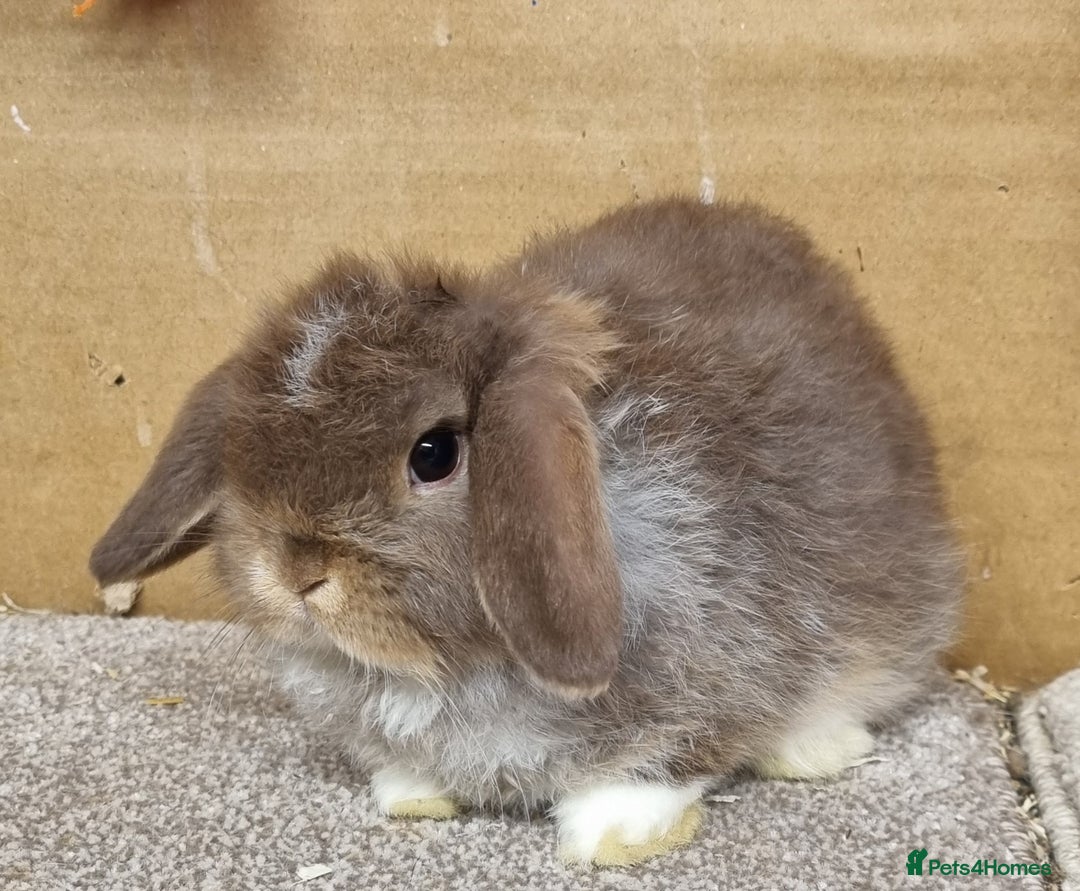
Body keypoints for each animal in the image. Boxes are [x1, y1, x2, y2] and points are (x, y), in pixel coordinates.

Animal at [90, 197, 963, 866]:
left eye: (435, 453)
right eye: (247, 454)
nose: (295, 570)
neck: (444, 669)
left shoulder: (725, 661)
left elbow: (676, 755)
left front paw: (609, 835)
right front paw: (411, 795)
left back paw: (818, 746)